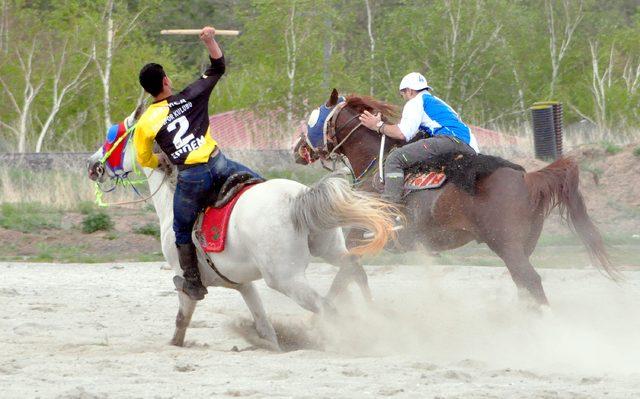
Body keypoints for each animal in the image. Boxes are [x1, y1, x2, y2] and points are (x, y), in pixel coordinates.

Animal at [86, 110, 396, 350]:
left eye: (113, 137)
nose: (92, 165)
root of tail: (298, 199)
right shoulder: (244, 285)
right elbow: (265, 327)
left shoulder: (184, 281)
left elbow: (181, 323)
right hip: (330, 250)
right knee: (354, 270)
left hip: (287, 280)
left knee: (328, 308)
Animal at [292, 89, 616, 304]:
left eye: (315, 117)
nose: (296, 148)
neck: (376, 165)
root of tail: (528, 178)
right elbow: (353, 275)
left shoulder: (359, 238)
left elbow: (347, 275)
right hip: (522, 247)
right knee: (524, 286)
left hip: (508, 247)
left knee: (531, 283)